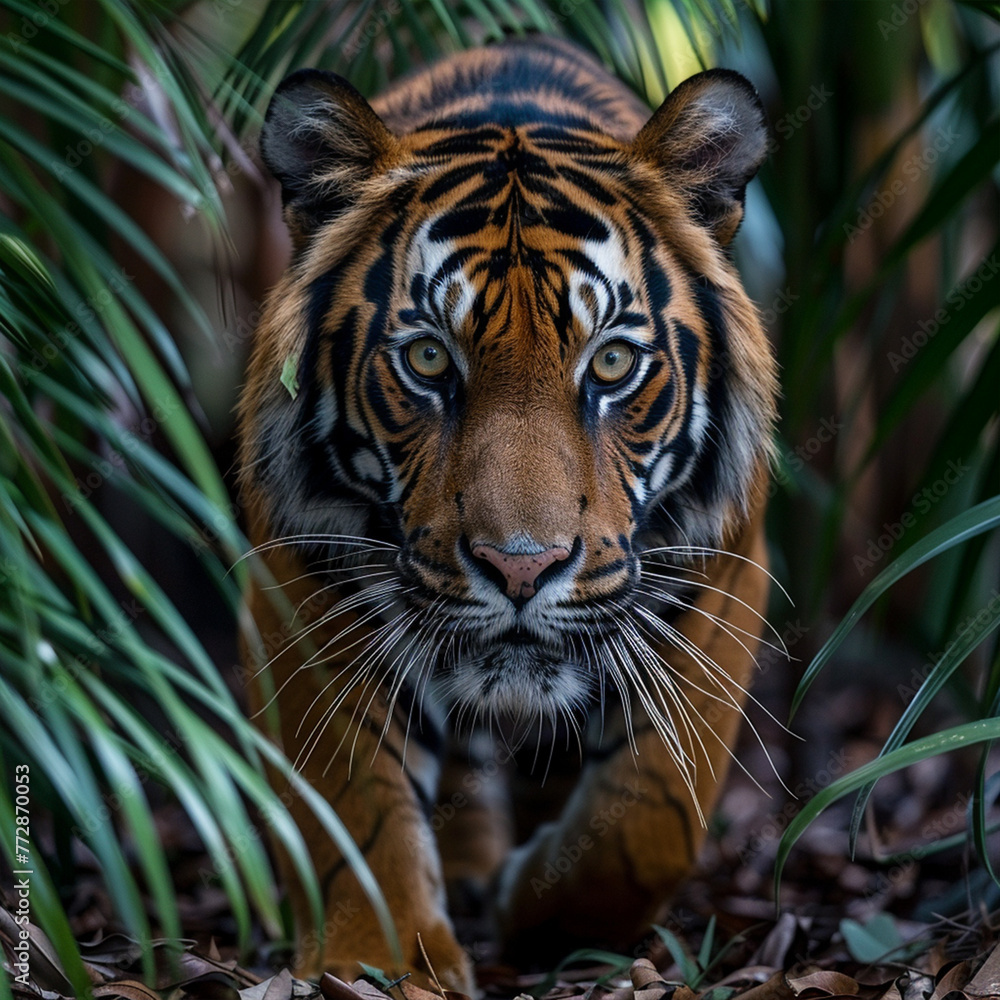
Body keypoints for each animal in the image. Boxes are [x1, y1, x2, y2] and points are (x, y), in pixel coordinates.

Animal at [237, 35, 777, 993]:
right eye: (426, 359)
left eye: (610, 365)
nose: (521, 567)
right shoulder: (304, 576)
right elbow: (354, 804)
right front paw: (380, 962)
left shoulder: (720, 575)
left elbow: (653, 820)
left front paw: (542, 913)